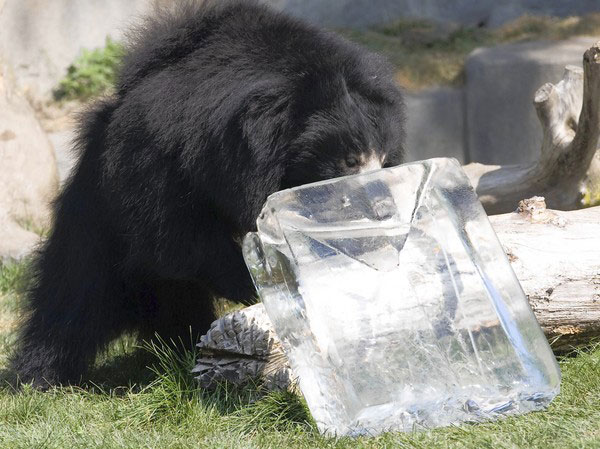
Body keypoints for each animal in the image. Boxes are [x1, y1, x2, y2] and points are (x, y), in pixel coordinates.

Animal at [11, 0, 406, 384]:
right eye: (350, 160)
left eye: (385, 160)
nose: (384, 211)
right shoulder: (161, 158)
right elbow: (177, 236)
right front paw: (257, 283)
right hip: (98, 206)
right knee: (76, 290)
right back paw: (40, 375)